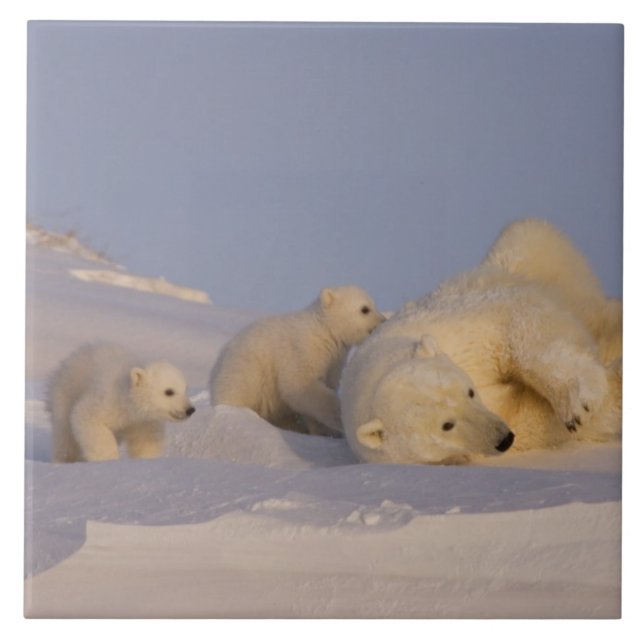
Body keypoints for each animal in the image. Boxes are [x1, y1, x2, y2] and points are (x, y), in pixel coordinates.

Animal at [49, 343, 195, 463]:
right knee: (65, 436)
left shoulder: (142, 422)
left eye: (185, 389)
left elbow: (146, 442)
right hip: (64, 393)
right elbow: (86, 418)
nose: (190, 409)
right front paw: (108, 459)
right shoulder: (106, 400)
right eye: (169, 391)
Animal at [209, 285, 385, 436]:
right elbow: (299, 384)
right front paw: (337, 419)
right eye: (365, 309)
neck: (324, 331)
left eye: (373, 305)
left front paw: (322, 430)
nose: (383, 321)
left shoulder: (334, 362)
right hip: (245, 373)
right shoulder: (304, 350)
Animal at [339, 218, 622, 465]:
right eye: (446, 425)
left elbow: (517, 323)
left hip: (529, 261)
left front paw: (578, 404)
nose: (503, 439)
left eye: (469, 392)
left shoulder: (454, 329)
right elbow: (533, 418)